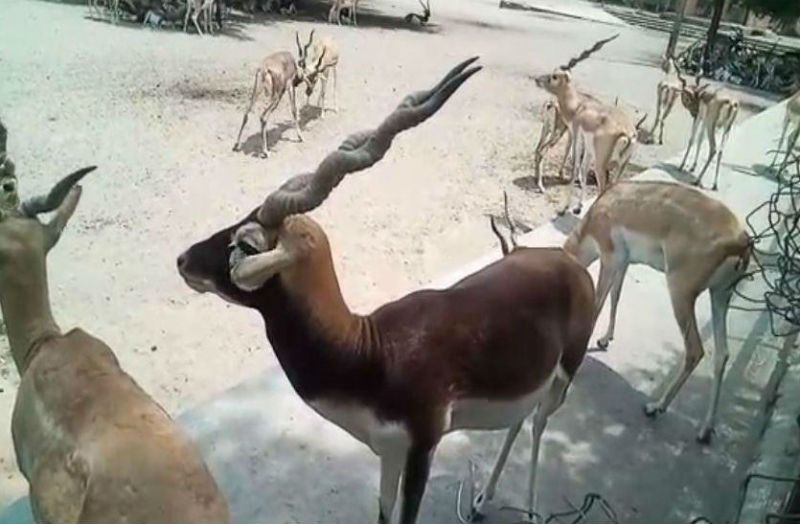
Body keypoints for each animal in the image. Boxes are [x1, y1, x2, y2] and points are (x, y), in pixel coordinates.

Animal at [177, 58, 596, 524]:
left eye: (247, 244)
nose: (183, 260)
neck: (370, 351)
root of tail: (569, 264)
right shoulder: (388, 452)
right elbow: (383, 513)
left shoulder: (422, 448)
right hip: (531, 381)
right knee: (521, 420)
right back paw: (483, 500)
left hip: (563, 378)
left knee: (540, 424)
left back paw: (533, 506)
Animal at [563, 179, 751, 444]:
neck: (602, 208)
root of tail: (740, 239)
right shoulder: (624, 263)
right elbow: (616, 297)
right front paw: (605, 339)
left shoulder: (611, 260)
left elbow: (598, 304)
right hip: (720, 297)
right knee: (722, 354)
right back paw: (705, 430)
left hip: (681, 294)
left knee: (695, 350)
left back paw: (655, 407)